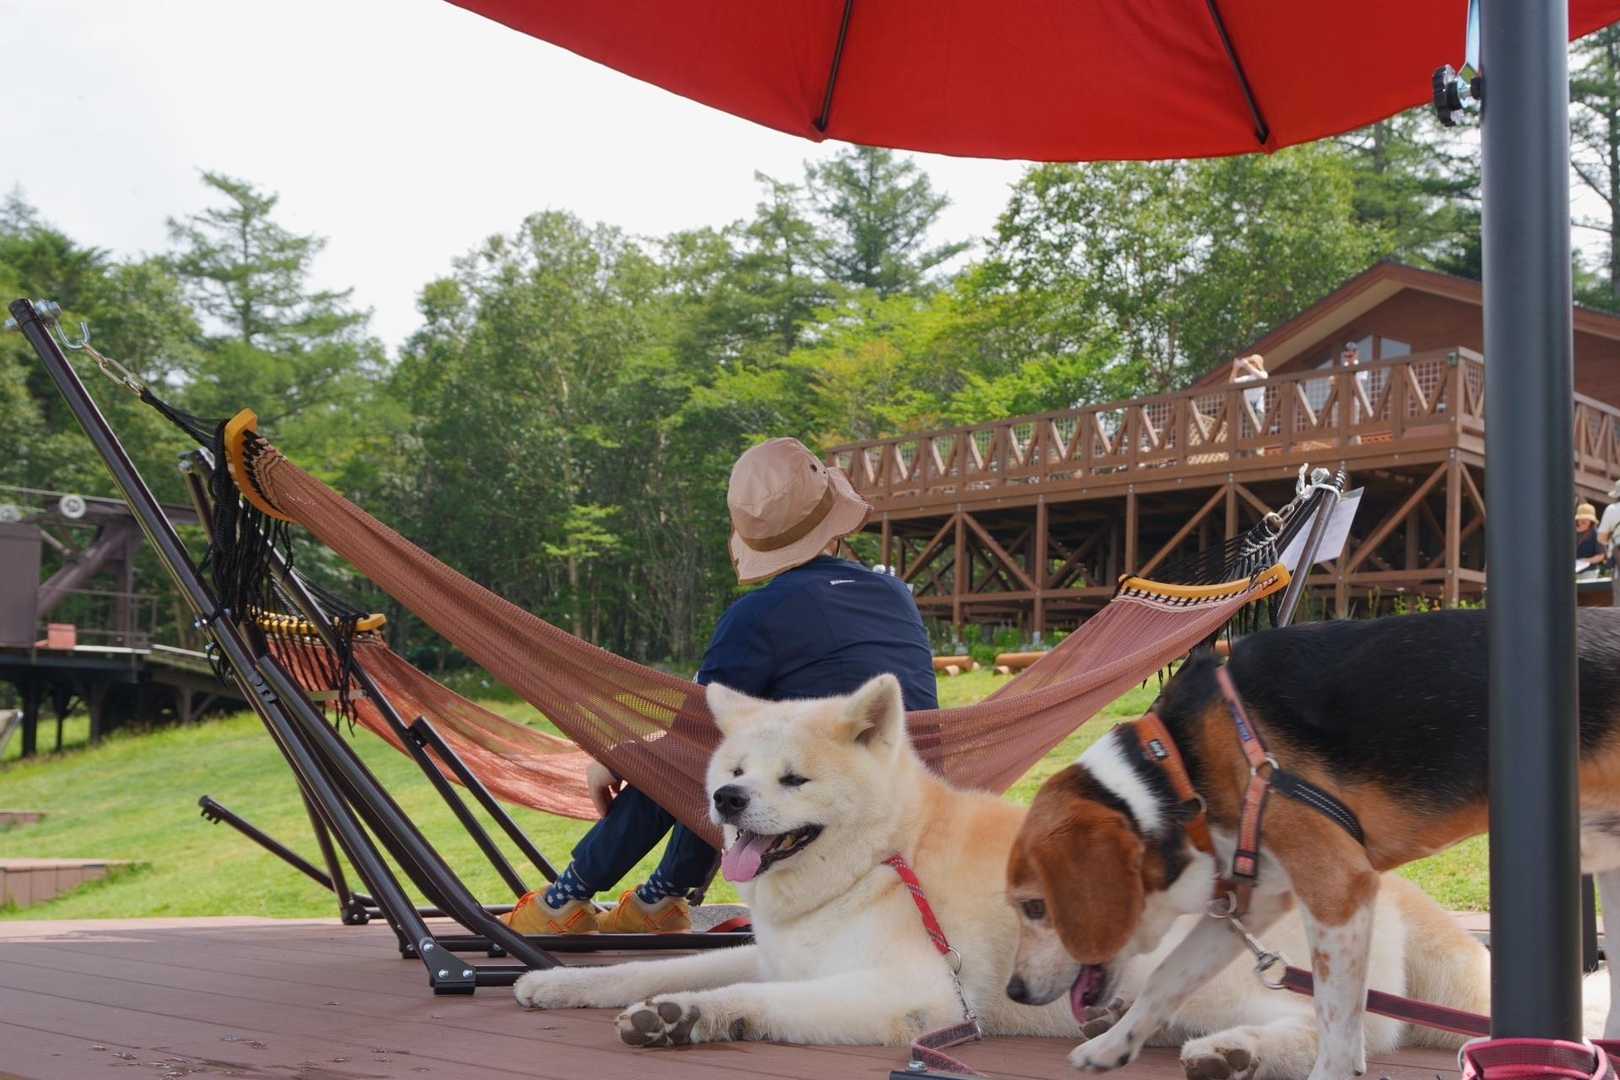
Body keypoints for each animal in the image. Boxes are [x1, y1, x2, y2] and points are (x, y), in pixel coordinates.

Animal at [1006, 607, 1620, 1080]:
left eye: (1035, 907)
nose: (1012, 991)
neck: (1178, 768)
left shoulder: (1337, 890)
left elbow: (1335, 1020)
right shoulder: (1254, 902)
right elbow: (1165, 978)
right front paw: (1112, 1047)